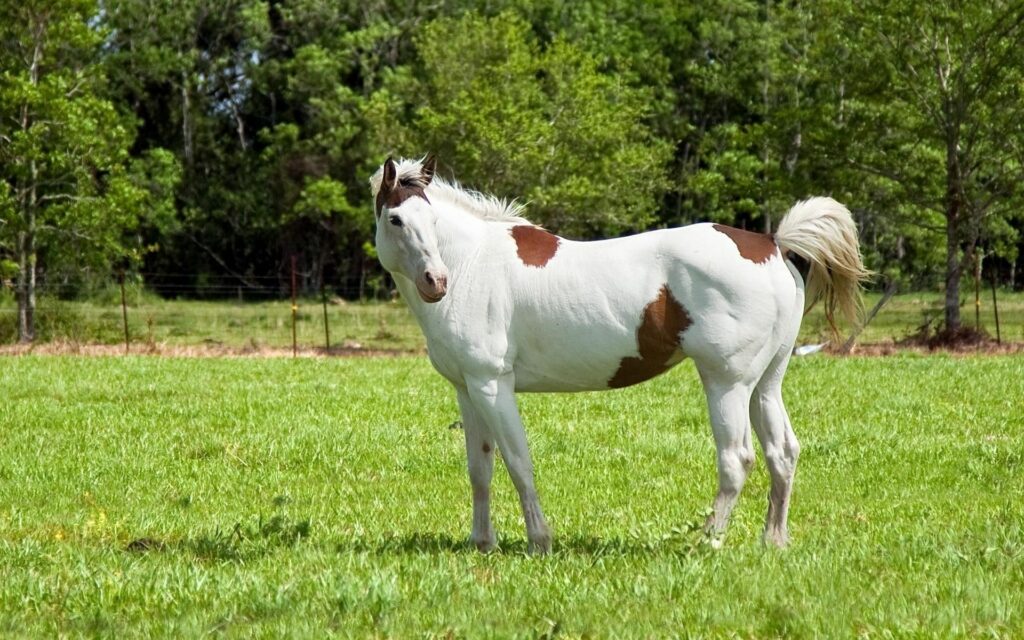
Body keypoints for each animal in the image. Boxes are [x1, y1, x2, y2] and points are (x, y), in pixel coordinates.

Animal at [370, 155, 868, 553]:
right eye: (396, 219)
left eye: (431, 221)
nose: (436, 282)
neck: (474, 263)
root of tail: (771, 244)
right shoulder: (467, 389)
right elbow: (480, 468)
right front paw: (482, 542)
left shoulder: (493, 386)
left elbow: (518, 462)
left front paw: (539, 541)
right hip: (766, 384)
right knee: (782, 453)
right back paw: (773, 541)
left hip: (727, 383)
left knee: (737, 459)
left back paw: (706, 541)